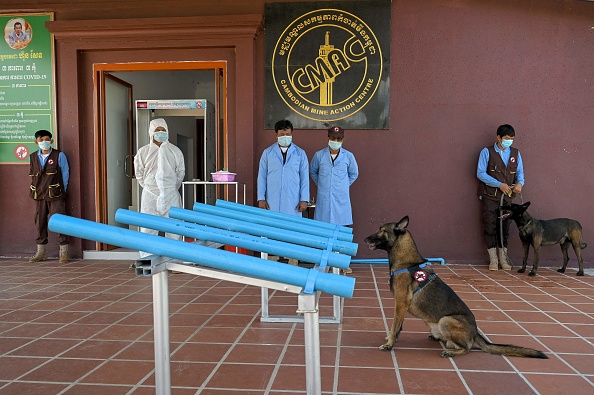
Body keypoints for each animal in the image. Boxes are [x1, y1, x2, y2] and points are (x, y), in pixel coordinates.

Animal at [366, 218, 544, 360]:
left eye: (382, 230)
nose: (365, 238)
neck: (406, 262)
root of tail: (475, 332)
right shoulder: (401, 306)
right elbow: (398, 327)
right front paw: (391, 339)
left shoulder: (401, 304)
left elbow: (395, 325)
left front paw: (389, 345)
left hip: (446, 320)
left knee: (467, 348)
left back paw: (450, 351)